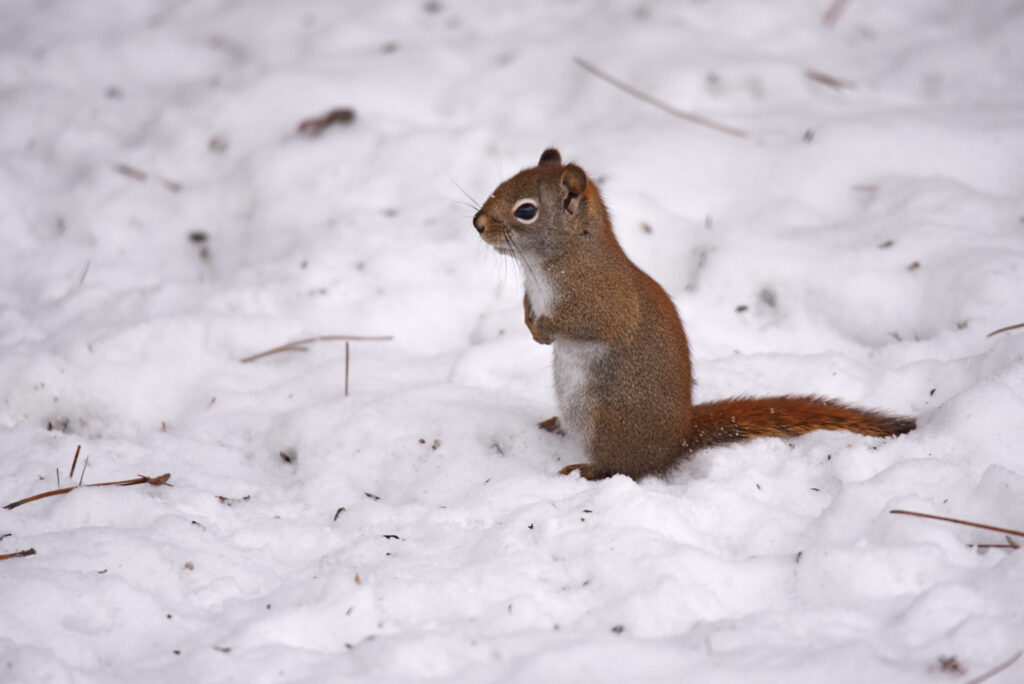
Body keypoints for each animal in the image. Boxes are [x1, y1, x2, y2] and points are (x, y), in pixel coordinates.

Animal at [473, 148, 916, 480]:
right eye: (503, 184)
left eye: (526, 211)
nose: (477, 223)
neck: (551, 263)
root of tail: (678, 439)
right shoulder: (533, 292)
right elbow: (527, 308)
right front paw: (530, 324)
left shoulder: (604, 300)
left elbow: (588, 323)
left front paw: (545, 330)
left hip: (607, 422)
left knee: (628, 468)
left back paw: (587, 468)